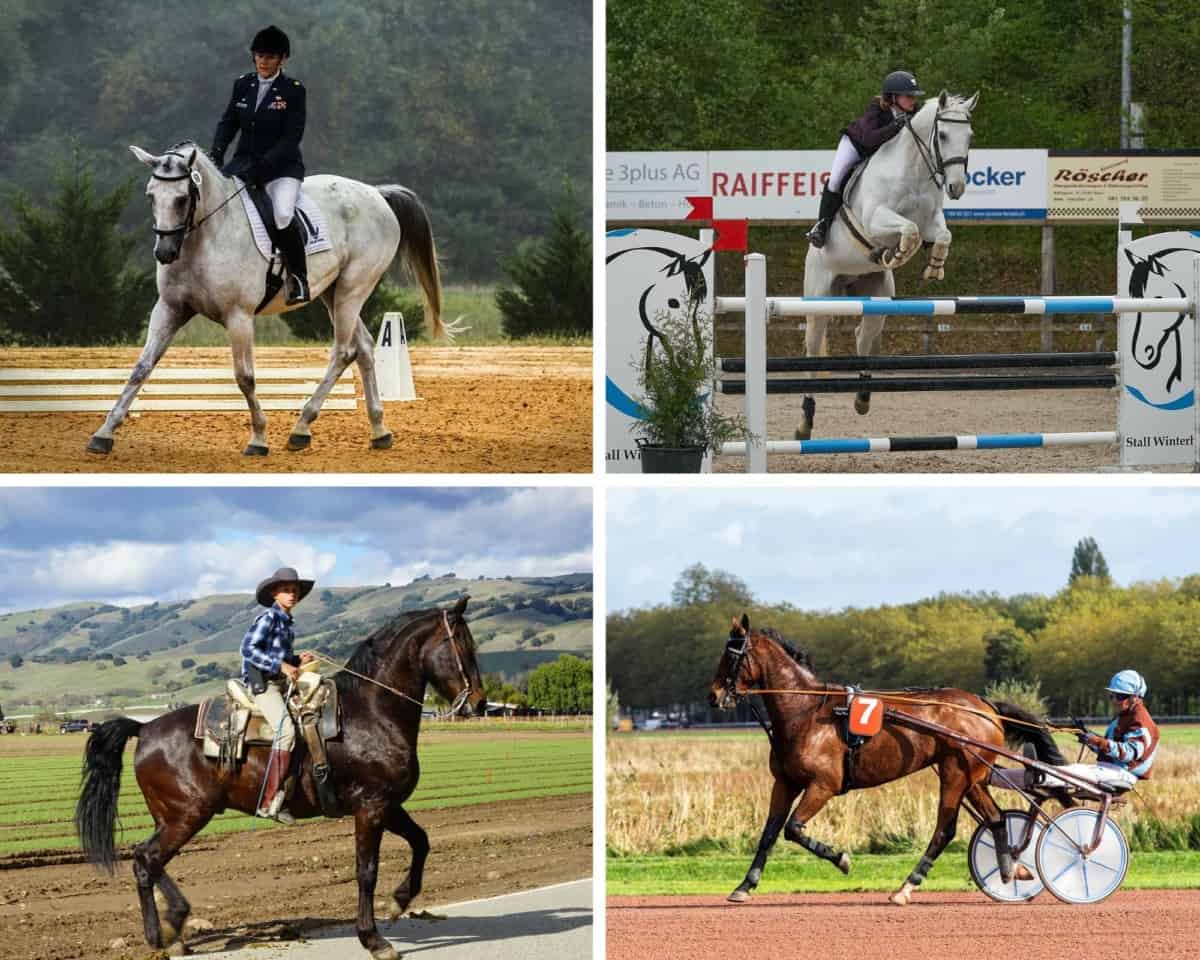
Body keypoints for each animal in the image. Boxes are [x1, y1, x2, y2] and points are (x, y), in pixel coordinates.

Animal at [75, 597, 486, 960]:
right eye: (465, 647)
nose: (480, 703)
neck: (371, 712)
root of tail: (144, 729)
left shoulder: (388, 805)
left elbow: (421, 841)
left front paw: (399, 901)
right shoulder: (370, 807)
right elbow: (366, 871)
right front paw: (373, 939)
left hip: (174, 817)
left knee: (147, 858)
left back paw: (173, 929)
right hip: (186, 815)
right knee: (146, 859)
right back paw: (162, 932)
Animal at [87, 142, 455, 457]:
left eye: (181, 199)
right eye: (151, 196)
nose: (164, 253)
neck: (204, 239)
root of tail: (377, 194)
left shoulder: (238, 316)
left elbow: (245, 377)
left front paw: (258, 438)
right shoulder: (170, 309)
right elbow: (141, 367)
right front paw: (104, 433)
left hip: (353, 289)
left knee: (343, 351)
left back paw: (302, 427)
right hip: (333, 293)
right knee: (363, 347)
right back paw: (378, 430)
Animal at [708, 614, 1062, 906]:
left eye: (732, 655)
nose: (713, 696)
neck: (806, 712)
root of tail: (986, 706)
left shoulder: (823, 785)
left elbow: (793, 829)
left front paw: (841, 858)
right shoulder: (785, 782)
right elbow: (769, 833)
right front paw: (744, 885)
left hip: (955, 774)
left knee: (945, 830)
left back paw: (906, 887)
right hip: (972, 777)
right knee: (997, 818)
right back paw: (1011, 870)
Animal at [797, 91, 979, 439]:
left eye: (970, 136)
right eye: (943, 135)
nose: (956, 188)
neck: (915, 170)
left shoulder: (932, 219)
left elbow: (941, 235)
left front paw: (933, 266)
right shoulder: (875, 220)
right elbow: (909, 230)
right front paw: (897, 253)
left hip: (876, 297)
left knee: (863, 337)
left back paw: (863, 398)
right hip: (818, 299)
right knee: (812, 353)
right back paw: (804, 423)